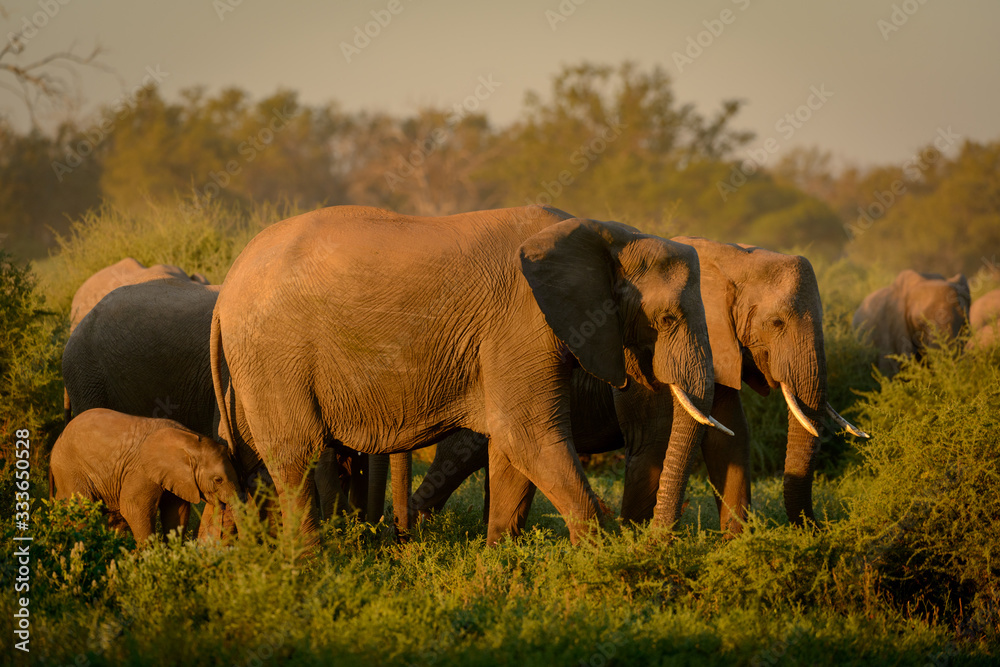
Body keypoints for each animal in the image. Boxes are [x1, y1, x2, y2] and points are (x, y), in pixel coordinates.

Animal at [48, 408, 244, 542]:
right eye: (218, 480)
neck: (191, 441)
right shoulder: (142, 471)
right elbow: (133, 508)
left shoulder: (176, 477)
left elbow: (176, 512)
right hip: (70, 469)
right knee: (82, 511)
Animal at [211, 205, 726, 546]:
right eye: (667, 319)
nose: (655, 542)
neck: (608, 234)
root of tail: (227, 284)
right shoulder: (521, 322)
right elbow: (528, 436)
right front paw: (601, 564)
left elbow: (513, 452)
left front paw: (499, 567)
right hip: (273, 350)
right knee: (294, 456)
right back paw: (308, 567)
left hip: (252, 365)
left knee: (242, 452)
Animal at [410, 237, 868, 534]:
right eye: (777, 323)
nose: (812, 531)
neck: (731, 256)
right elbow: (653, 441)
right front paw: (637, 545)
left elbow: (730, 440)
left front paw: (737, 548)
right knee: (459, 455)